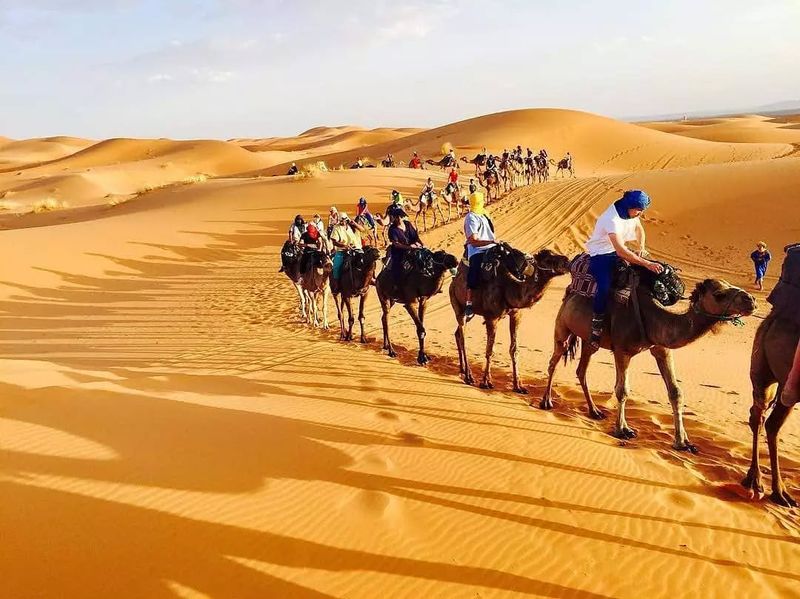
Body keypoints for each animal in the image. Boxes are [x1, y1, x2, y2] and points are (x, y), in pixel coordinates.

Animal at [450, 247, 568, 394]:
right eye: (548, 259)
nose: (567, 261)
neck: (508, 288)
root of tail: (453, 281)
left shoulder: (516, 315)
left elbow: (514, 349)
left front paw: (518, 385)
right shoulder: (491, 318)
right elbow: (490, 349)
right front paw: (486, 382)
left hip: (470, 314)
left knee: (458, 334)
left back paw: (462, 370)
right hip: (457, 304)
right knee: (463, 336)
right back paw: (469, 376)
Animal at [536, 276, 756, 450]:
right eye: (719, 294)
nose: (751, 300)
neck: (653, 318)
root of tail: (569, 294)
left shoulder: (662, 349)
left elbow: (676, 392)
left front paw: (683, 441)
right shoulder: (622, 351)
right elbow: (622, 390)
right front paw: (622, 430)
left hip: (590, 341)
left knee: (581, 370)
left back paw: (595, 411)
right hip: (562, 327)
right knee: (554, 361)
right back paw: (546, 402)